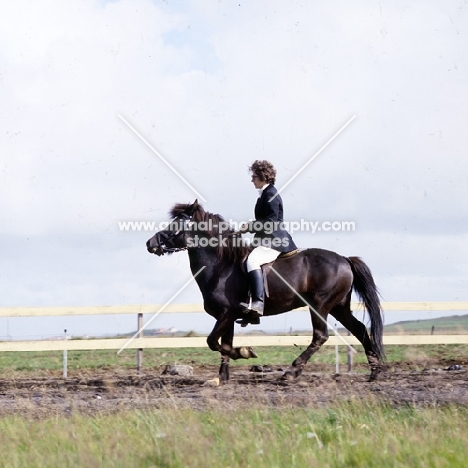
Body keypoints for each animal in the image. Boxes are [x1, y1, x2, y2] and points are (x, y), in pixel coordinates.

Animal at [146, 199, 384, 382]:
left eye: (177, 224)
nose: (150, 243)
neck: (220, 265)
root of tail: (344, 259)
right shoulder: (227, 317)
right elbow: (224, 345)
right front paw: (221, 378)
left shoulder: (226, 314)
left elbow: (213, 342)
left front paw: (245, 352)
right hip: (339, 307)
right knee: (360, 330)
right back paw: (374, 372)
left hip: (320, 306)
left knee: (320, 336)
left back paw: (291, 372)